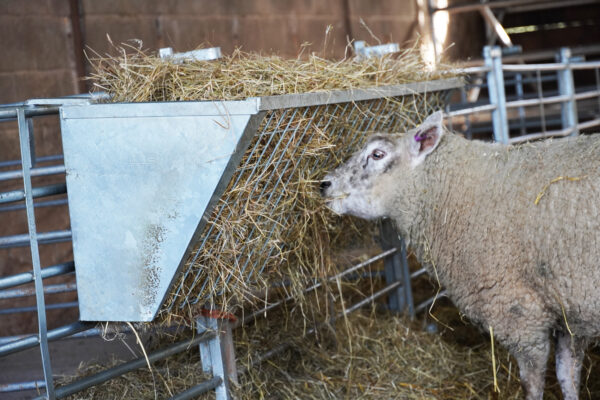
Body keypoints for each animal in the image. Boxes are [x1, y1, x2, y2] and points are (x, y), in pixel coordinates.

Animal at [322, 111, 600, 400]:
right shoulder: (571, 311)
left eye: (377, 154)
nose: (324, 184)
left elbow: (533, 383)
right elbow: (568, 375)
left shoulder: (519, 315)